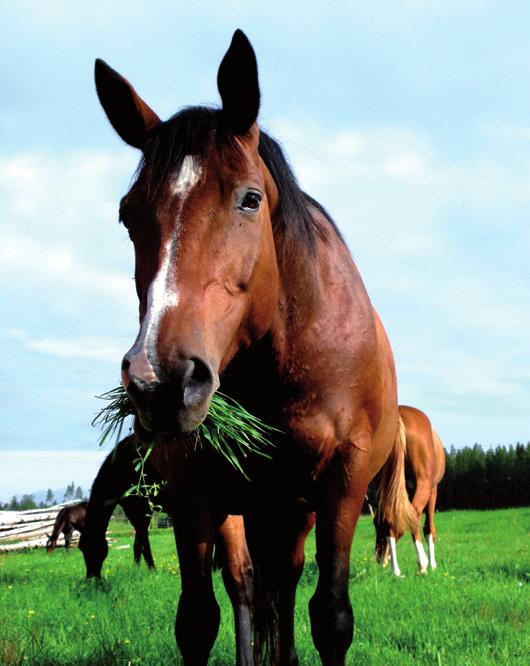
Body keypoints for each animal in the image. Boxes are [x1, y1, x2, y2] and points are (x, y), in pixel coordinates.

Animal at [94, 31, 408, 664]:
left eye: (250, 199)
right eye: (126, 215)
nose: (161, 380)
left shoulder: (341, 486)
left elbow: (331, 618)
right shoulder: (192, 489)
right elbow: (198, 619)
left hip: (292, 509)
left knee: (283, 585)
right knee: (248, 583)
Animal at [374, 404, 444, 576]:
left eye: (375, 524)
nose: (379, 557)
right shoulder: (433, 490)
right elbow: (429, 528)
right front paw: (432, 564)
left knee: (390, 518)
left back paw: (396, 571)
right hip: (424, 486)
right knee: (415, 515)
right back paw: (422, 564)